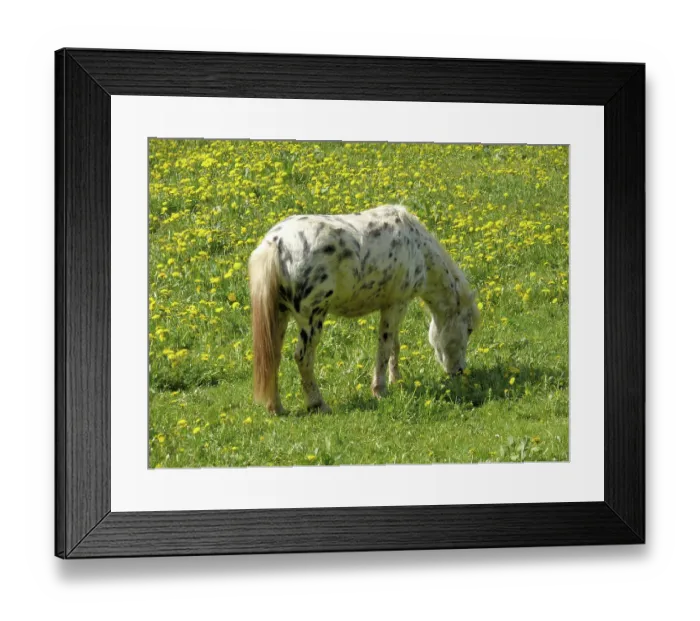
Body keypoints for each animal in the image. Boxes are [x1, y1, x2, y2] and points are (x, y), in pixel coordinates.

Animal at [248, 205, 480, 414]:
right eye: (469, 329)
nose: (460, 371)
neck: (417, 248)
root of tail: (276, 243)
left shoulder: (394, 305)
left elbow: (394, 345)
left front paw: (397, 381)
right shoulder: (396, 305)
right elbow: (385, 347)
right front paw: (380, 390)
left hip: (280, 314)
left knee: (273, 357)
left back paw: (276, 408)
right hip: (311, 320)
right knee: (303, 358)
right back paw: (318, 404)